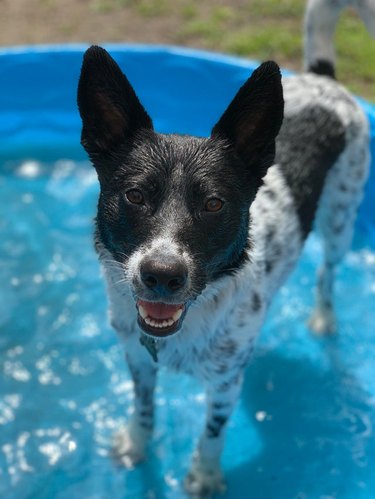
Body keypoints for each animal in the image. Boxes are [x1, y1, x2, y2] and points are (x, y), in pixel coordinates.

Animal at [78, 2, 372, 496]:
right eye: (134, 196)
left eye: (214, 204)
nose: (162, 275)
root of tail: (324, 78)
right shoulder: (137, 357)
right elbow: (144, 407)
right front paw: (137, 443)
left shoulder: (225, 382)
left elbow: (213, 432)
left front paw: (204, 475)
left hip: (341, 218)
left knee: (327, 272)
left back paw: (324, 317)